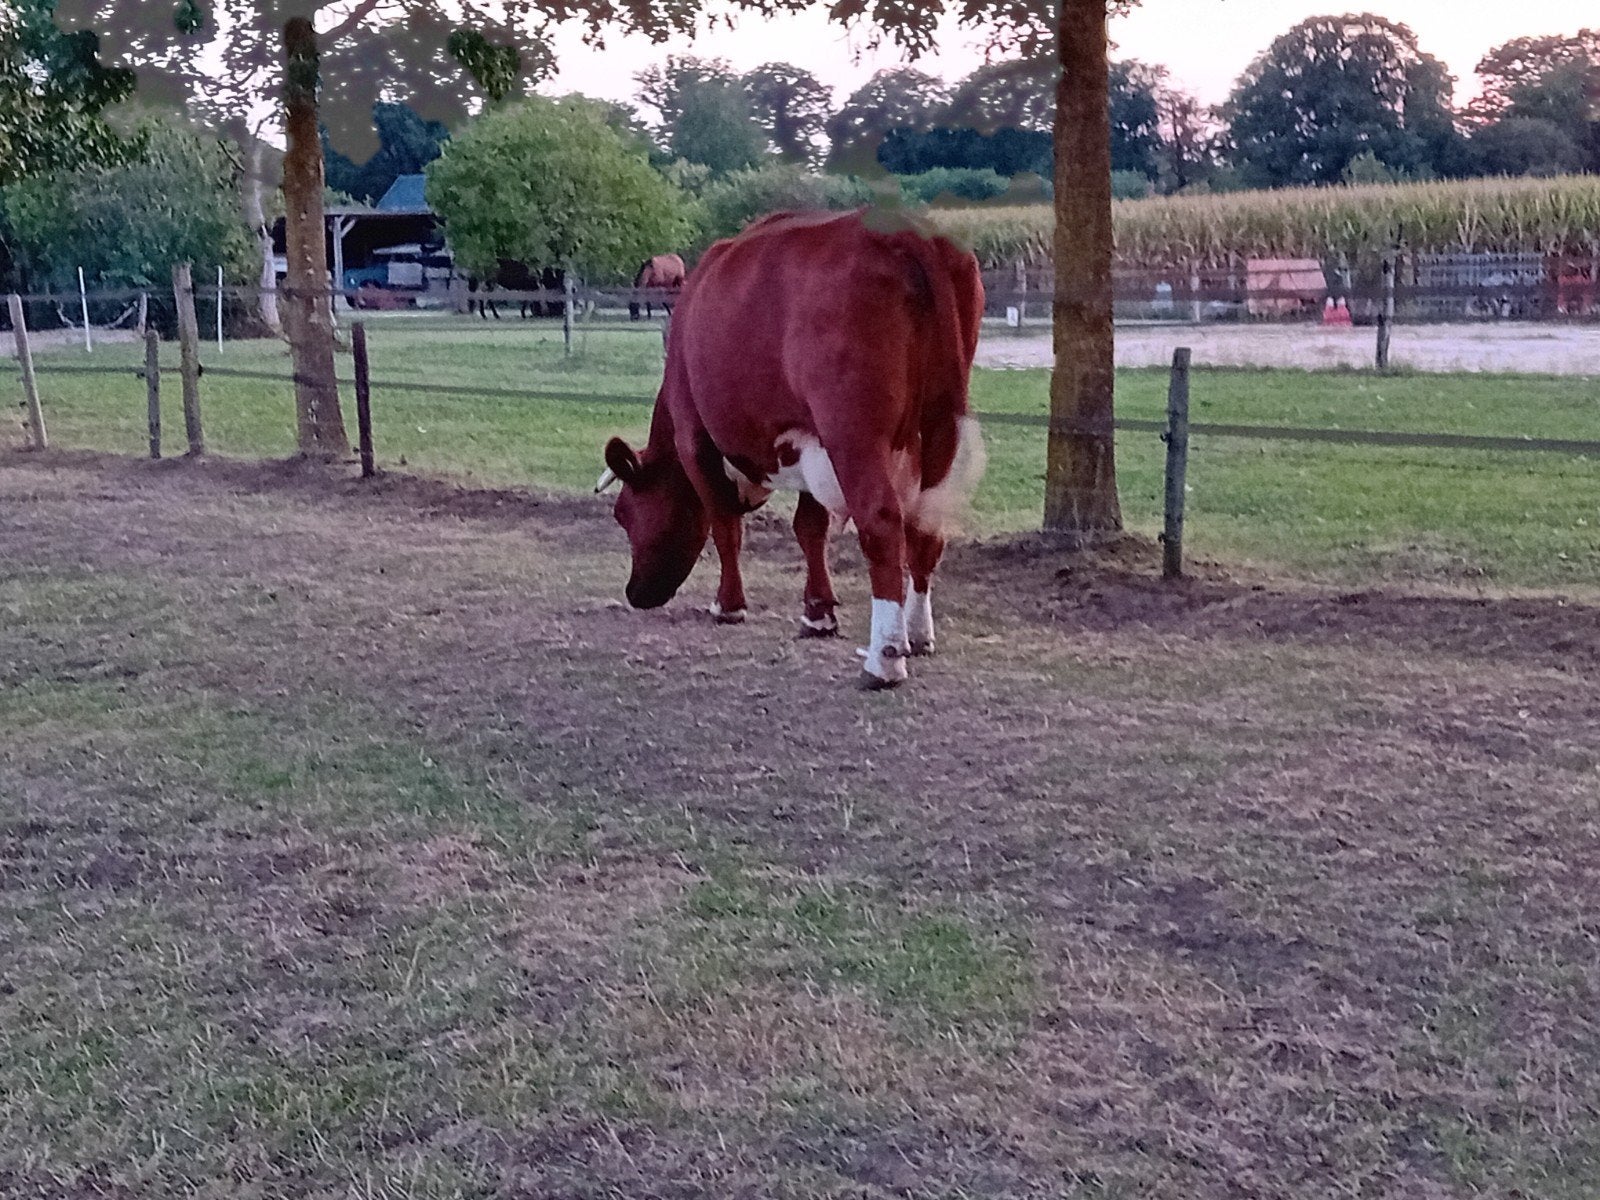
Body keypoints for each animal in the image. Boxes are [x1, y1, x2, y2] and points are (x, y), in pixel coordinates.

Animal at [595, 209, 986, 690]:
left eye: (624, 513)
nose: (635, 593)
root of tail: (903, 228)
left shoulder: (695, 438)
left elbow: (725, 525)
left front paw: (728, 605)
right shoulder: (808, 441)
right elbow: (809, 528)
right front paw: (818, 613)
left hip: (852, 431)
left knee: (881, 522)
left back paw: (884, 658)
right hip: (940, 425)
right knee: (926, 530)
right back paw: (916, 632)